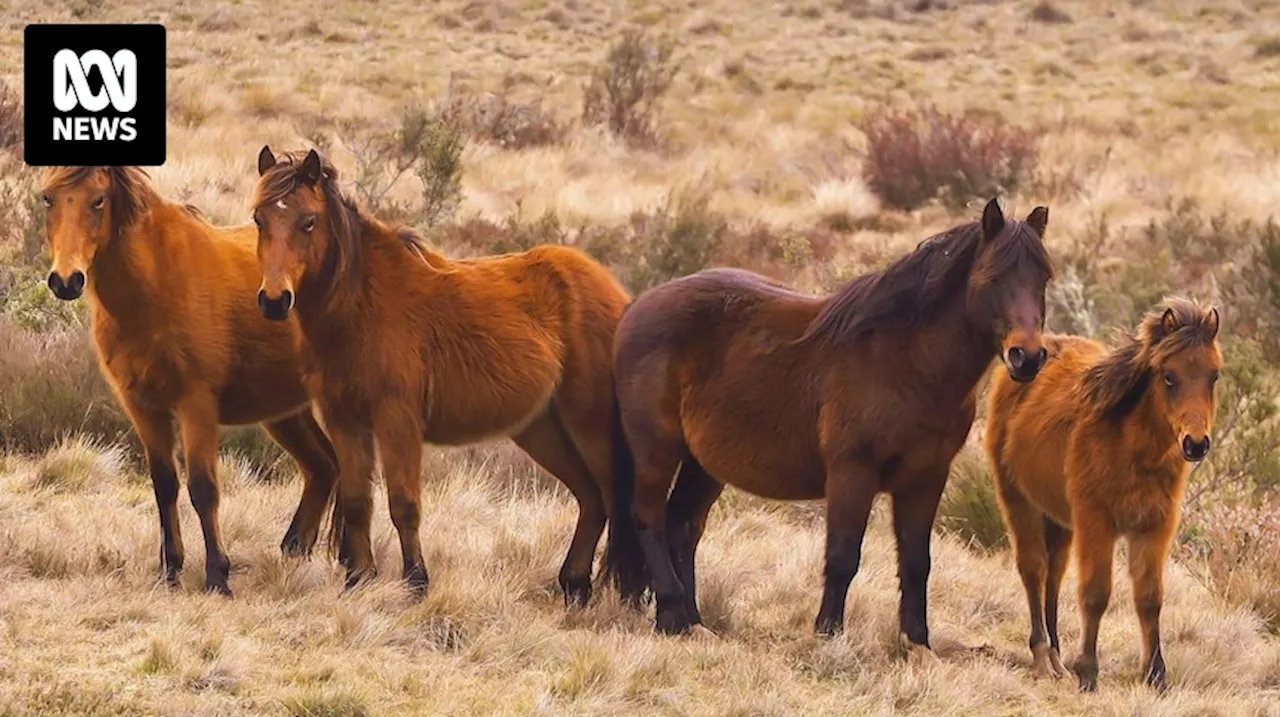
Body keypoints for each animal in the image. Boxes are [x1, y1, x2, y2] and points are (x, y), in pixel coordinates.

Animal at [40, 165, 343, 596]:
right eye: (48, 197)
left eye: (98, 200)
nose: (66, 281)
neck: (156, 284)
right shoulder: (143, 408)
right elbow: (164, 484)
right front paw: (170, 570)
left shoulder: (195, 405)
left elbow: (203, 487)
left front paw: (218, 575)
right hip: (284, 412)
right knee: (322, 467)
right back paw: (293, 553)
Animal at [249, 145, 650, 604]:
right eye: (259, 219)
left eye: (308, 221)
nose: (275, 300)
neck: (360, 304)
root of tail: (614, 291)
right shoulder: (344, 420)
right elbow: (356, 500)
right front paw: (359, 579)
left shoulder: (397, 421)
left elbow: (404, 503)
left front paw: (415, 582)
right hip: (541, 429)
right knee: (591, 499)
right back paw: (574, 585)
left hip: (591, 427)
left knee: (614, 500)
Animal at [614, 198, 1054, 660]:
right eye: (994, 276)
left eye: (1042, 276)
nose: (1027, 357)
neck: (905, 362)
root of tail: (638, 305)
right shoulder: (852, 473)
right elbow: (843, 556)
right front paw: (828, 633)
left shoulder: (925, 478)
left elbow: (917, 561)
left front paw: (917, 642)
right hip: (657, 450)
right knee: (649, 518)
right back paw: (671, 613)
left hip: (704, 465)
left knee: (682, 527)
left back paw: (692, 622)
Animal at [983, 295, 1223, 691]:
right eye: (1168, 376)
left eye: (1214, 375)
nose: (1196, 444)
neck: (1133, 450)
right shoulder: (1097, 522)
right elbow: (1096, 593)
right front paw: (1088, 672)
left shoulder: (1154, 526)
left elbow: (1149, 597)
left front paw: (1156, 675)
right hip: (1018, 501)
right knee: (1033, 569)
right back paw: (1041, 658)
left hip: (1059, 519)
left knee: (1054, 575)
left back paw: (1056, 658)